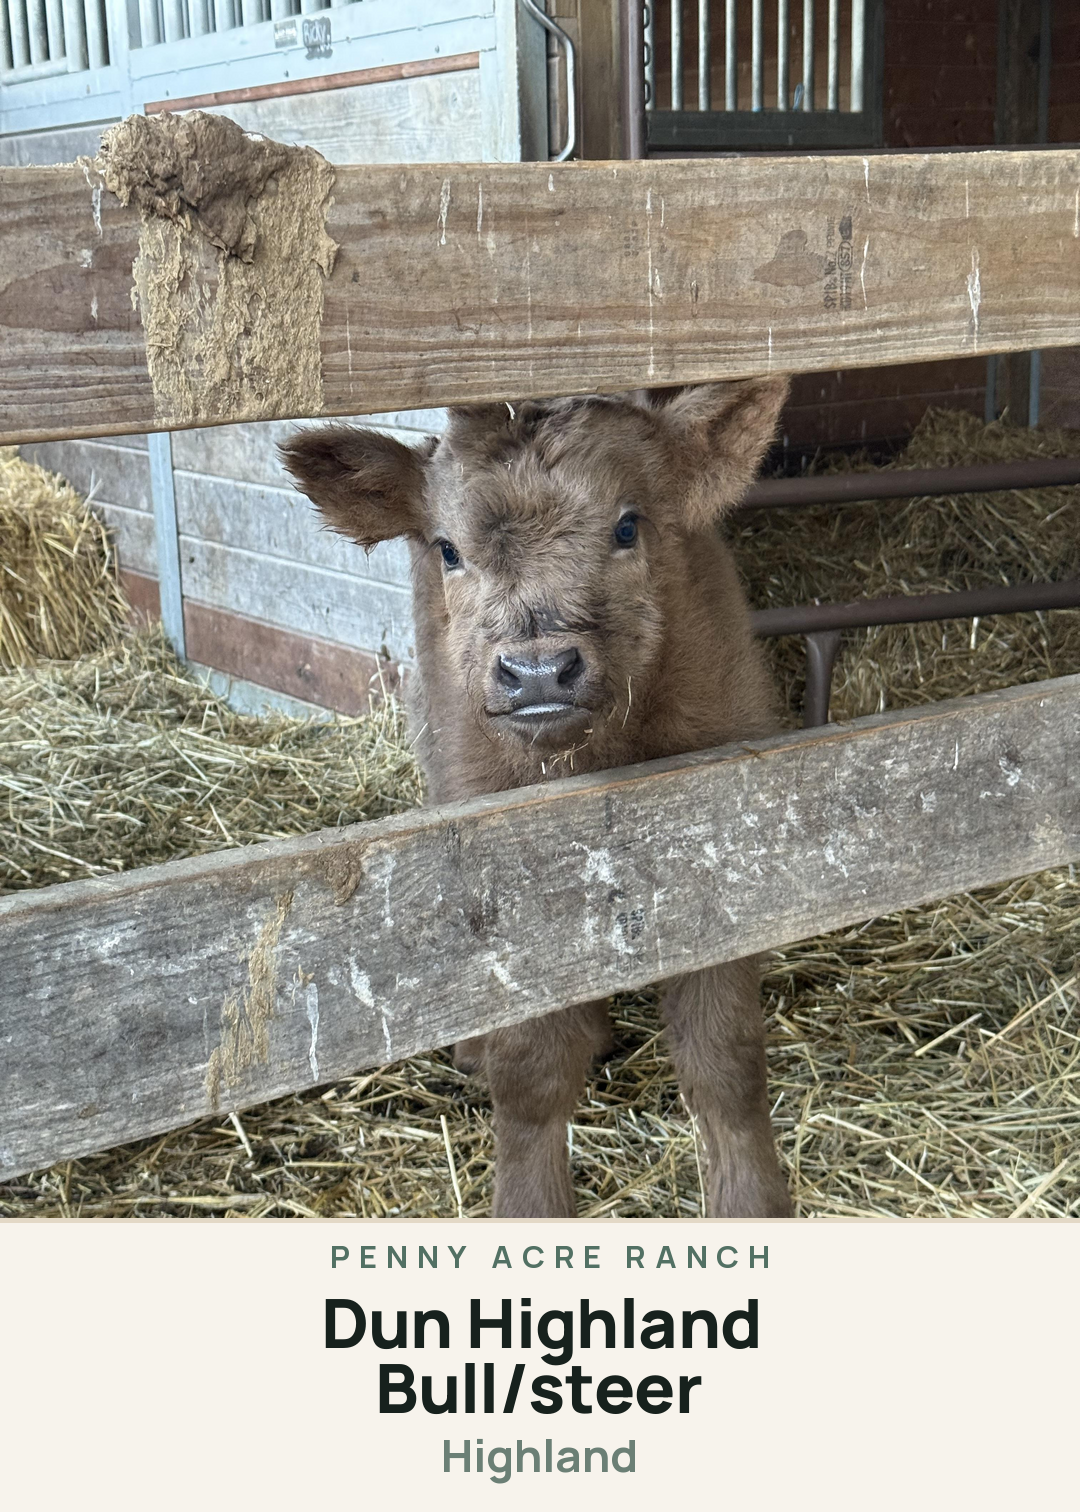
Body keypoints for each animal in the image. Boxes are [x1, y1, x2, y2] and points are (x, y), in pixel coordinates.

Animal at [282, 377, 792, 1218]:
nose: (539, 670)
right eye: (449, 549)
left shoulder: (730, 855)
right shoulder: (497, 880)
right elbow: (530, 1075)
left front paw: (753, 1204)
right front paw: (530, 1207)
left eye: (627, 525)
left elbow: (725, 1060)